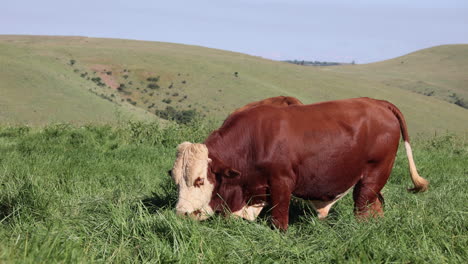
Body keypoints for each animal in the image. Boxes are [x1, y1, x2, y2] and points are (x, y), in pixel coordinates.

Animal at [170, 98, 430, 230]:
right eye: (176, 180)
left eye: (200, 180)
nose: (182, 214)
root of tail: (378, 103)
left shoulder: (281, 183)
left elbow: (279, 221)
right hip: (371, 182)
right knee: (376, 208)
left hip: (372, 176)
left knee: (363, 209)